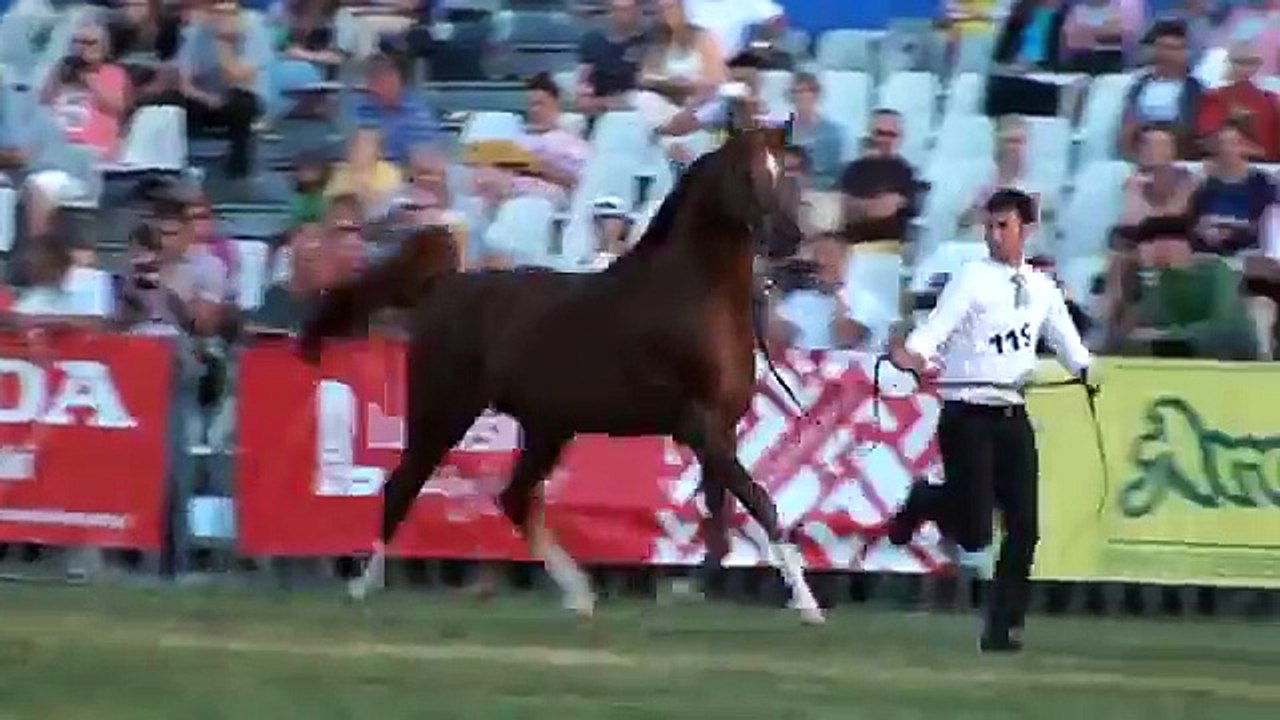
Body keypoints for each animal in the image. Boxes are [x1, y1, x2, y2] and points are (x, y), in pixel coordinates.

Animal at [298, 125, 822, 623]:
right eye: (748, 174)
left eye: (786, 173)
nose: (790, 239)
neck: (694, 295)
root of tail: (441, 287)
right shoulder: (700, 425)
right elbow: (758, 504)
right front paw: (807, 605)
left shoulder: (721, 429)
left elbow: (720, 523)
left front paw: (686, 590)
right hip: (443, 412)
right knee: (401, 487)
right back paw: (363, 587)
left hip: (546, 428)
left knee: (513, 498)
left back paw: (580, 594)